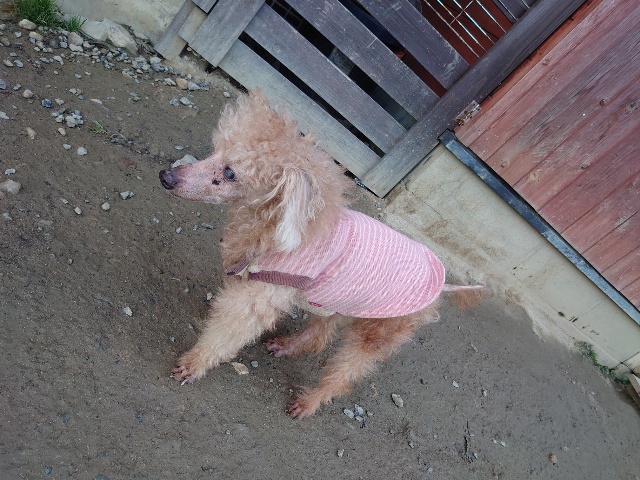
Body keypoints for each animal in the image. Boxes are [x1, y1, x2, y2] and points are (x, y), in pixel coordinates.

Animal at [159, 91, 485, 418]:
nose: (166, 176)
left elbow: (228, 332)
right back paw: (288, 346)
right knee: (319, 335)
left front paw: (194, 364)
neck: (270, 222)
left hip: (378, 330)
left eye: (229, 173)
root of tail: (442, 284)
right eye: (215, 151)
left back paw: (310, 401)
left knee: (344, 373)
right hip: (340, 302)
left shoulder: (259, 296)